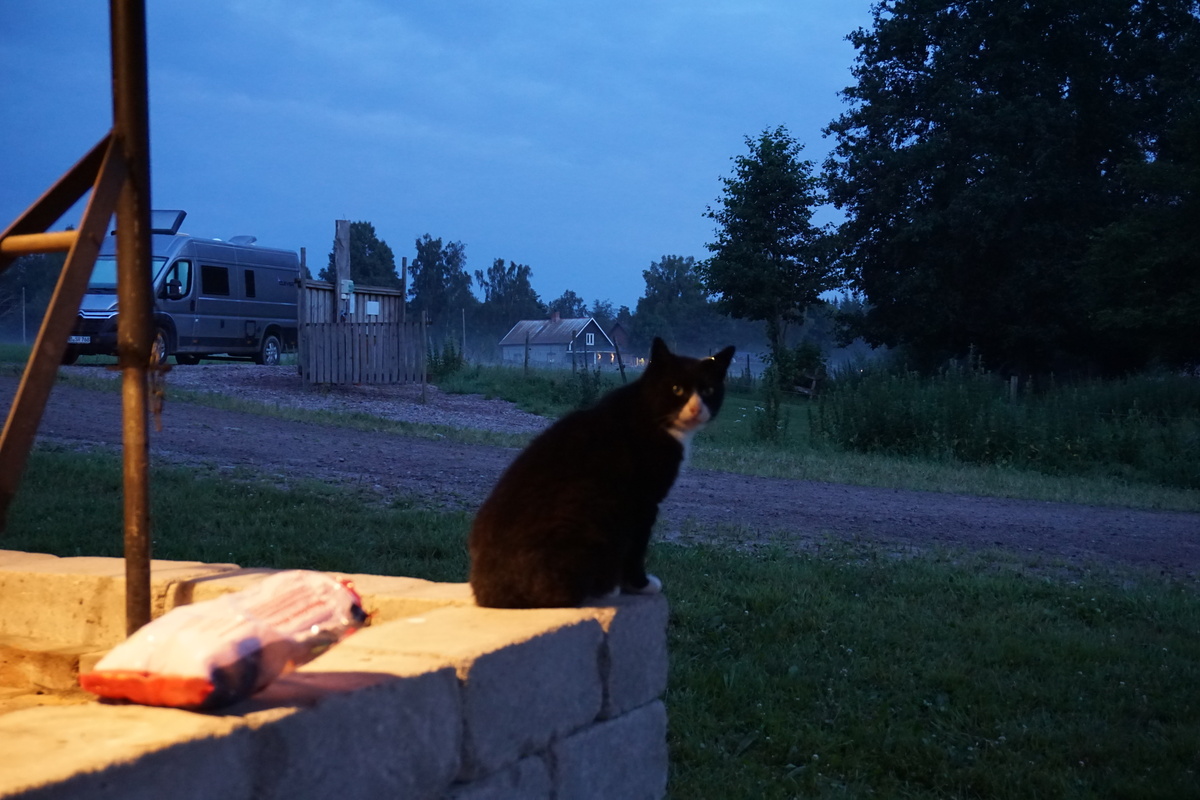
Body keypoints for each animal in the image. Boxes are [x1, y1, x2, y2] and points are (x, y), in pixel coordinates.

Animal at [465, 335, 729, 606]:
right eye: (677, 389)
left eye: (708, 390)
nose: (696, 409)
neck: (648, 410)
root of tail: (486, 593)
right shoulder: (643, 502)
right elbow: (636, 548)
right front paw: (640, 585)